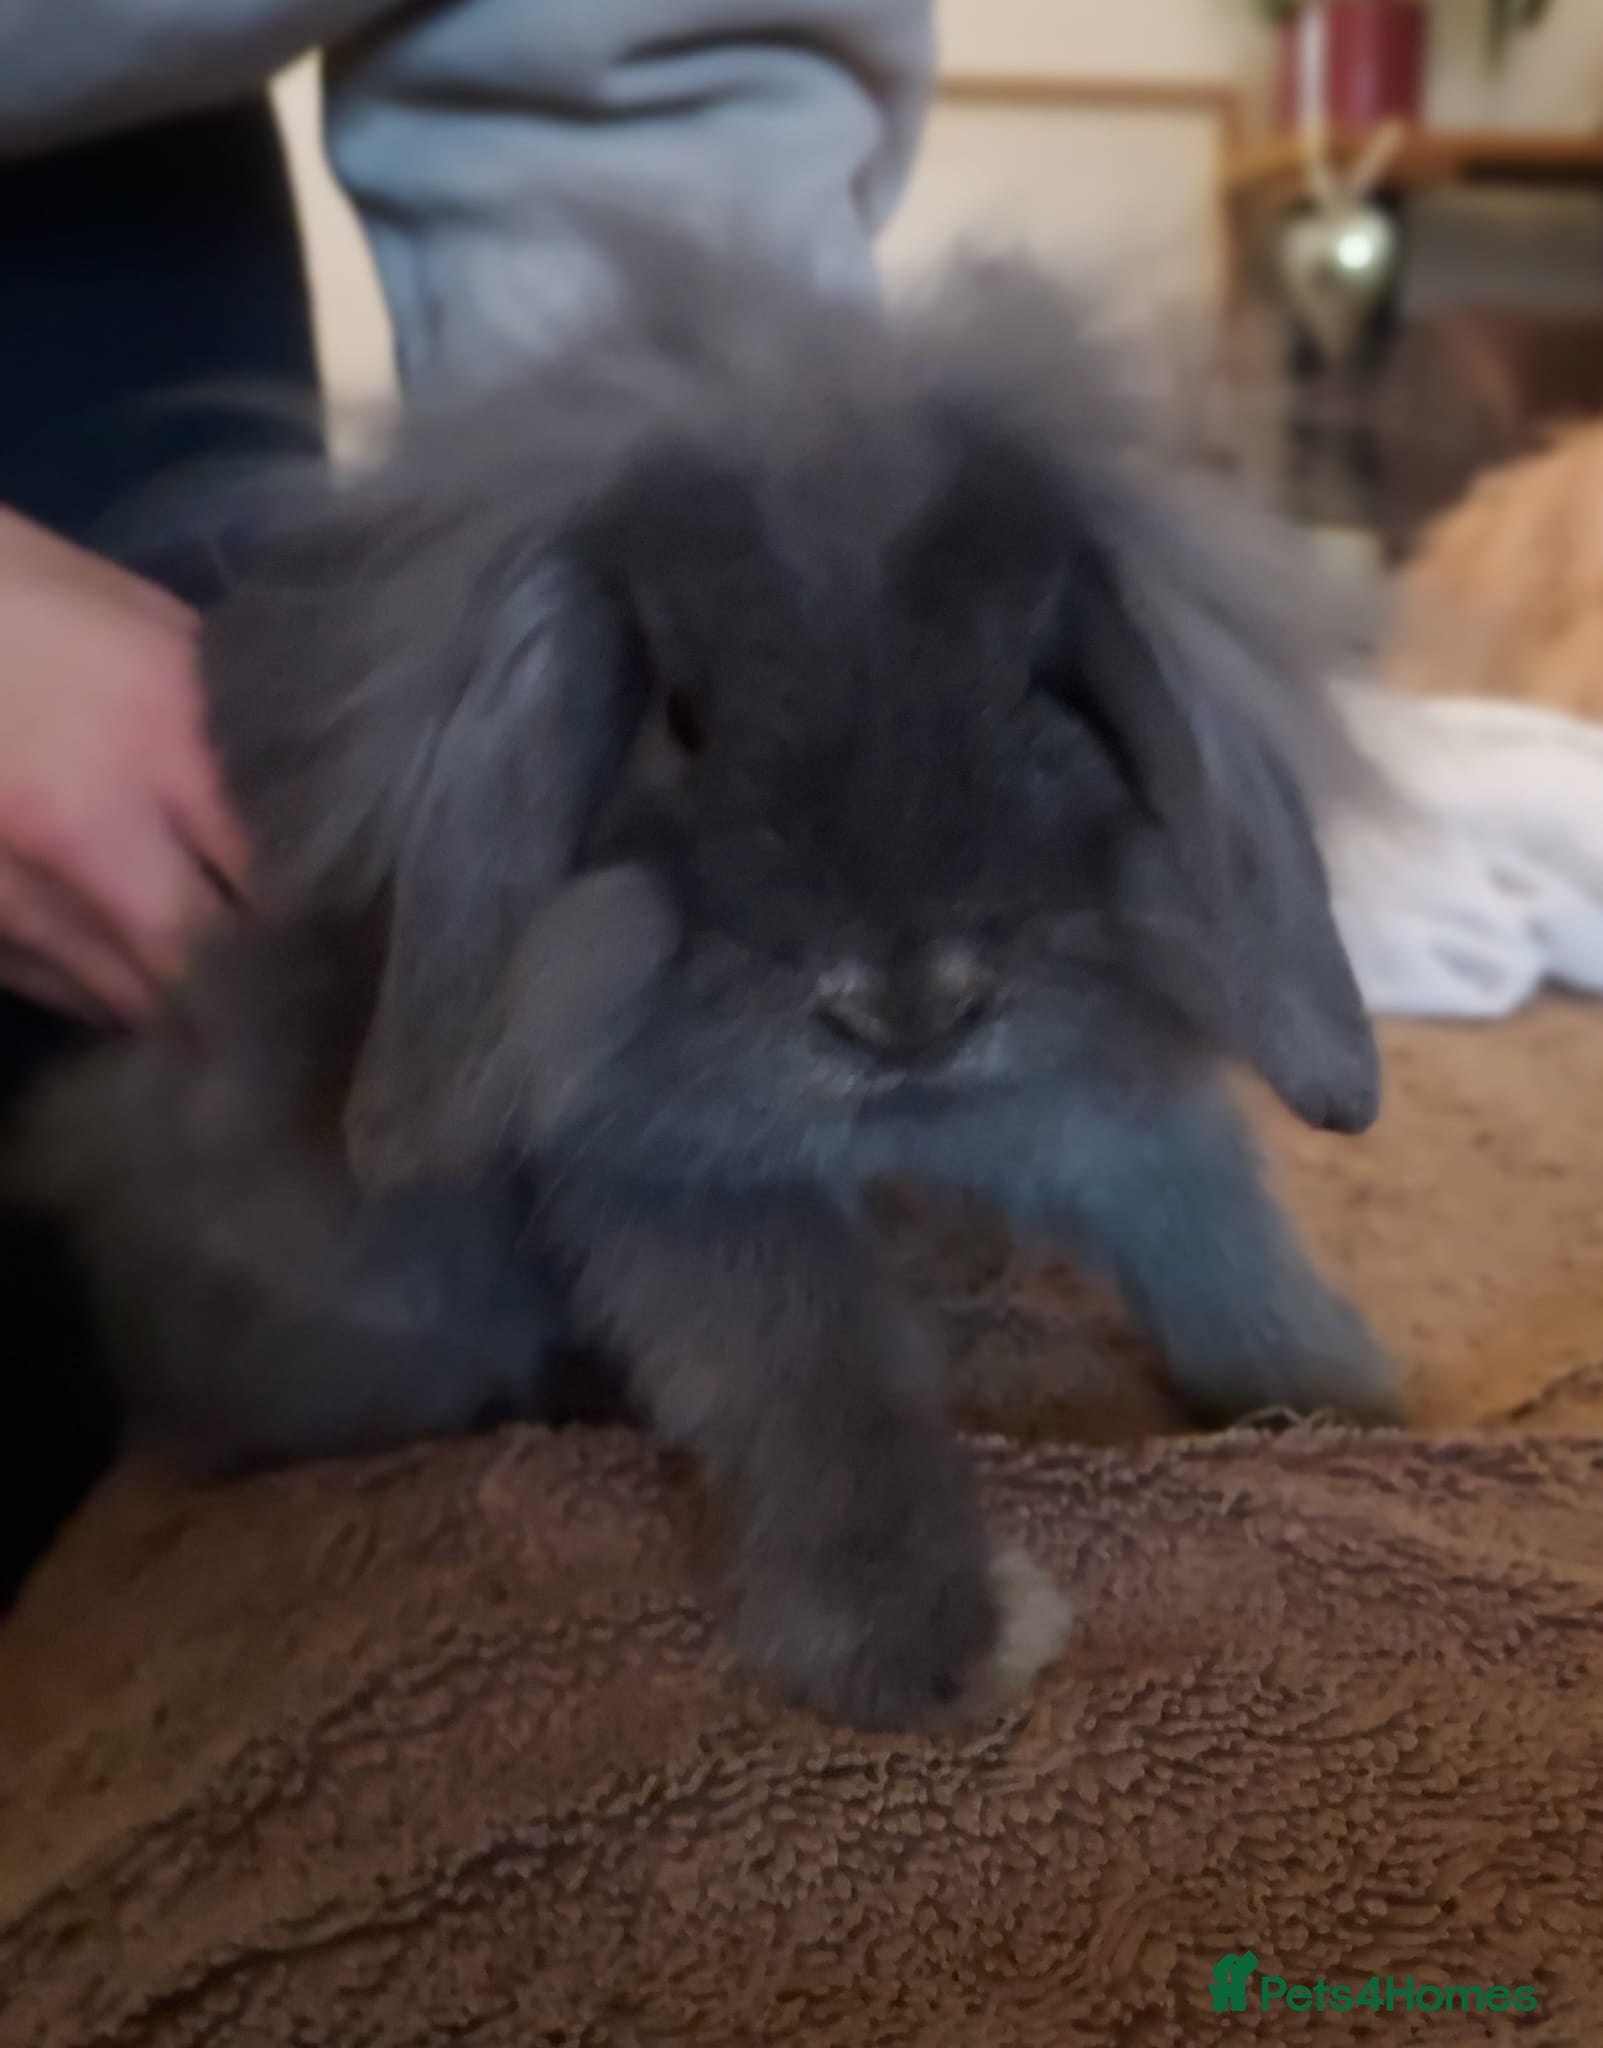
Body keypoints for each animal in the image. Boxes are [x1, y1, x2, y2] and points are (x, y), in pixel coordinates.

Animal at [15, 219, 1401, 1729]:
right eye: (681, 715)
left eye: (1037, 683)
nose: (903, 1009)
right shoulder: (677, 1173)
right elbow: (813, 1370)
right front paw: (926, 1646)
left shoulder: (1104, 1093)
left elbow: (1211, 1231)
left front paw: (1342, 1398)